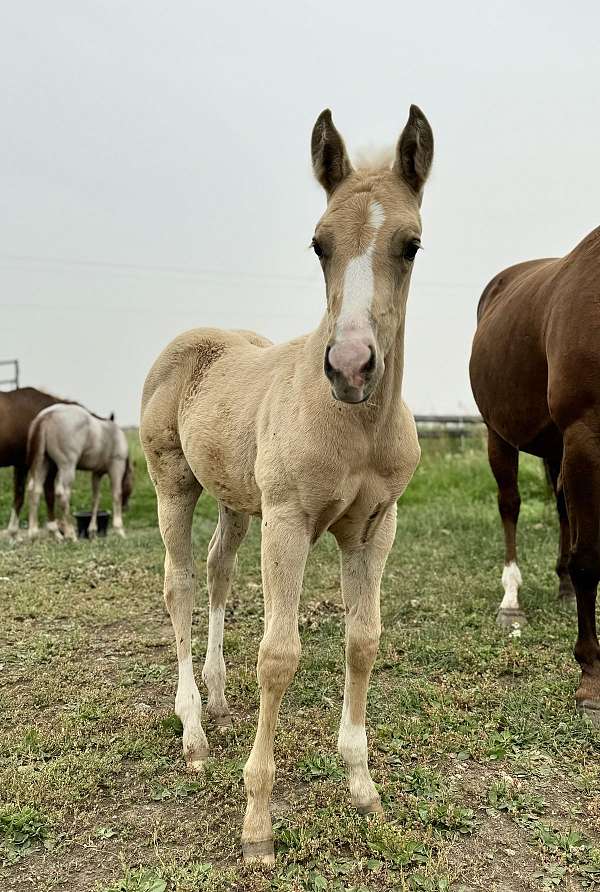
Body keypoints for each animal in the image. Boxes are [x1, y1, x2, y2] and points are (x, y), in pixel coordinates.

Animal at [27, 406, 132, 544]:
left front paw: (92, 531)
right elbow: (116, 495)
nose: (126, 507)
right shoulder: (116, 467)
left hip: (43, 463)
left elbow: (95, 499)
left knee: (35, 491)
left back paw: (34, 534)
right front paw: (120, 530)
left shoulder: (96, 473)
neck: (112, 433)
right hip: (67, 467)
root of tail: (47, 416)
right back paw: (70, 534)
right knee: (62, 494)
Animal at [139, 106, 432, 864]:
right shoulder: (291, 520)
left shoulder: (376, 526)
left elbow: (363, 640)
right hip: (174, 486)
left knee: (218, 571)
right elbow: (278, 656)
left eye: (411, 244)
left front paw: (362, 787)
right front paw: (257, 825)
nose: (351, 365)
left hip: (238, 501)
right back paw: (193, 731)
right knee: (180, 585)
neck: (355, 427)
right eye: (319, 244)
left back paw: (216, 699)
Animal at [472, 225, 600, 724]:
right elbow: (590, 560)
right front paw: (590, 681)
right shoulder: (585, 433)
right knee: (510, 505)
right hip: (499, 435)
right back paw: (512, 603)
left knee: (563, 506)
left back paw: (562, 586)